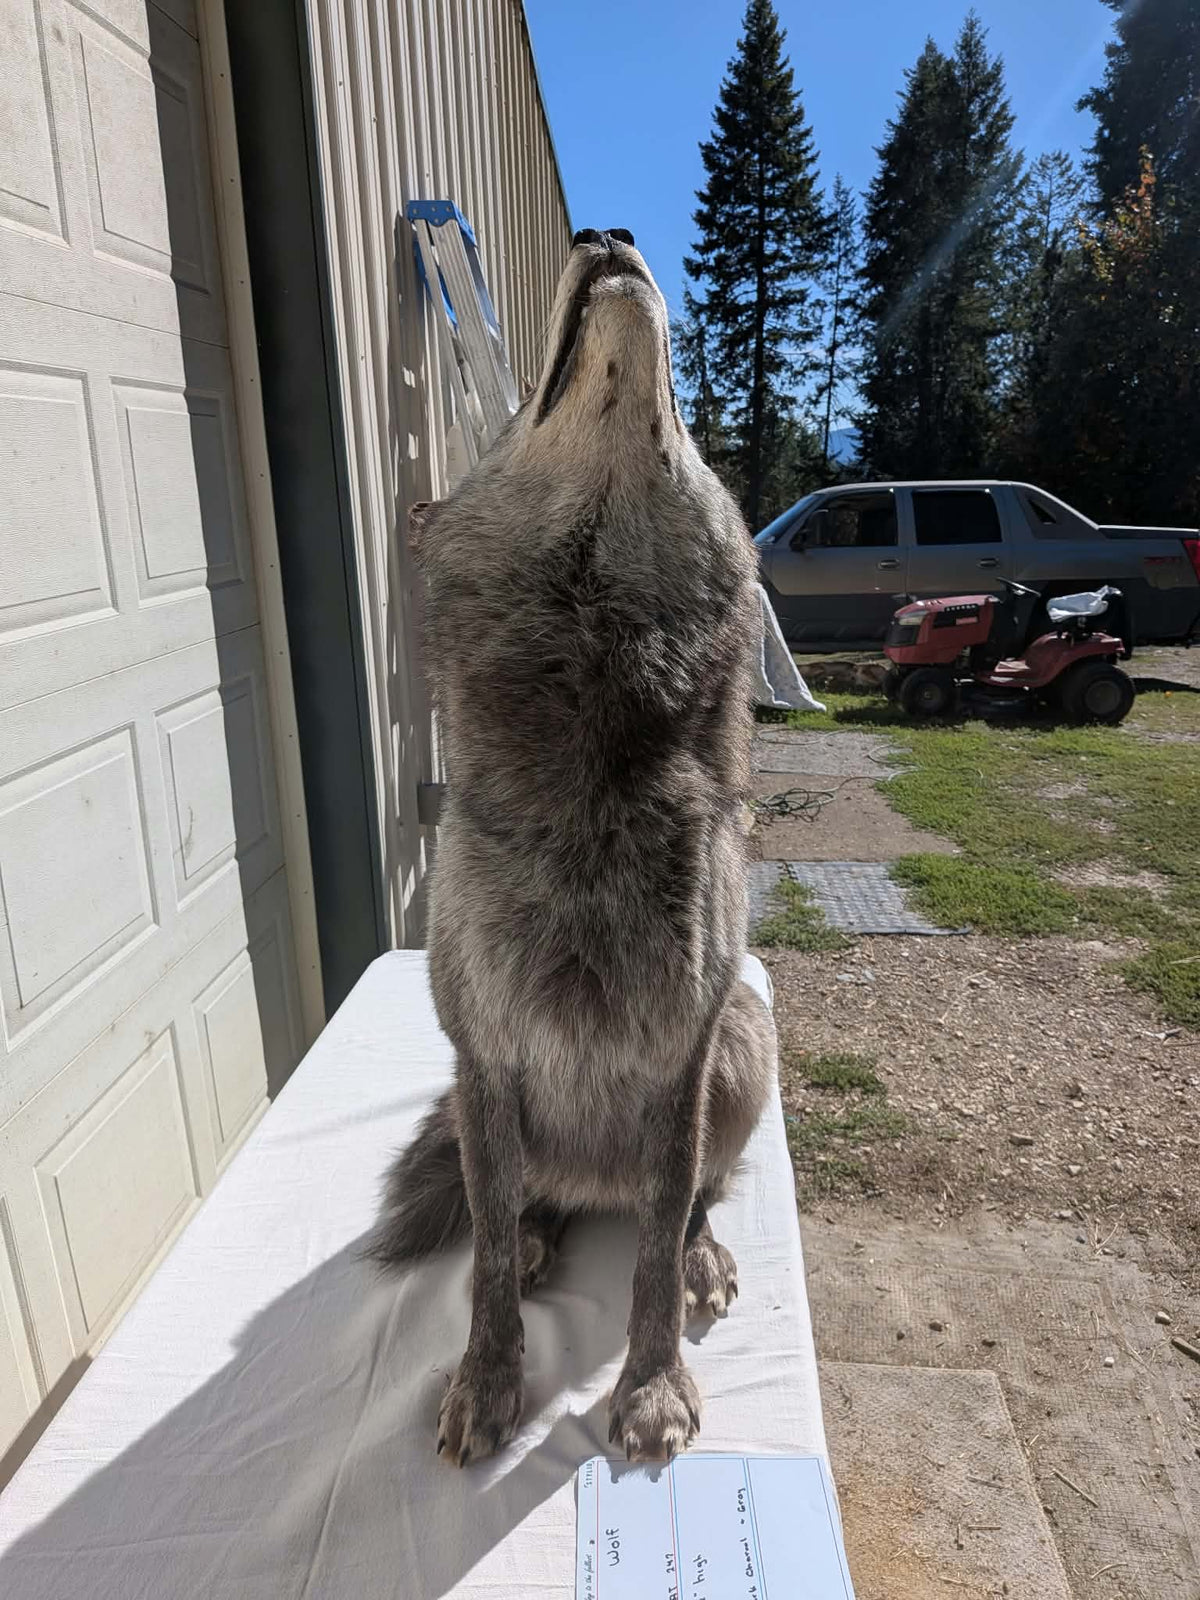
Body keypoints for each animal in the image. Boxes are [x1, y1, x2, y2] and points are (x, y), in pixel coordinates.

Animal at [369, 227, 776, 1466]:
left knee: (683, 1201)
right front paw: (488, 1379)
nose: (610, 234)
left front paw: (650, 1388)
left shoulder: (686, 1051)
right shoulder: (485, 1057)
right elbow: (492, 1252)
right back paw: (552, 1226)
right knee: (515, 1205)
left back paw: (700, 1252)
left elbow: (653, 1246)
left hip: (748, 1039)